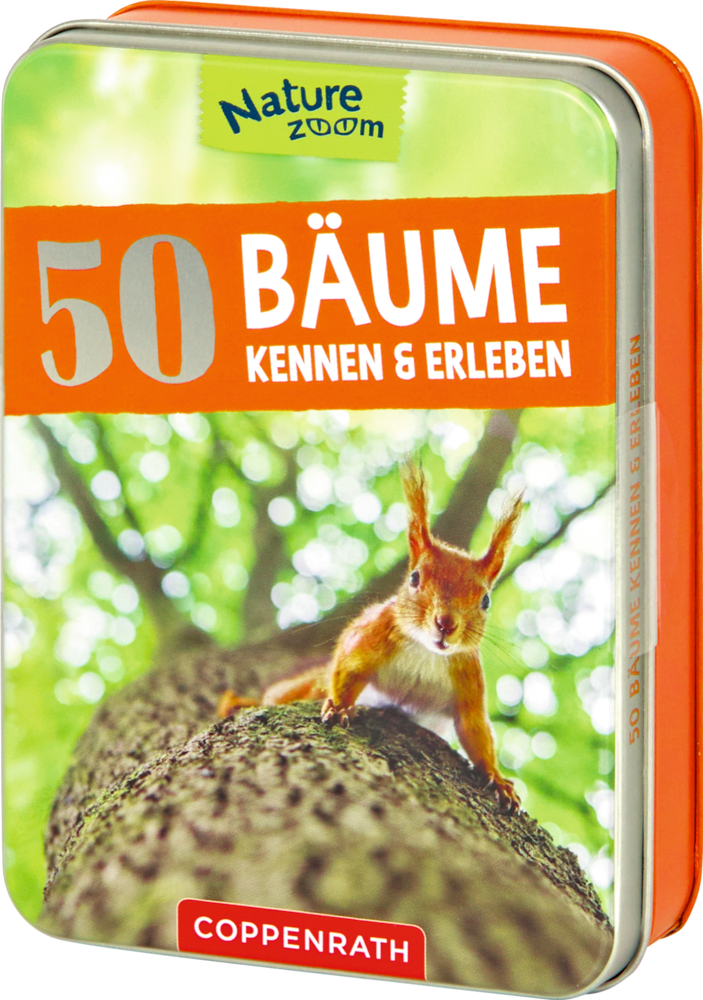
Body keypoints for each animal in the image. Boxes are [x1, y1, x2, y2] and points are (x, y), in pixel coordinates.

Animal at [218, 462, 524, 813]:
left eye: (486, 600)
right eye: (414, 578)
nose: (445, 624)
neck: (426, 651)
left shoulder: (468, 677)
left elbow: (475, 730)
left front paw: (498, 780)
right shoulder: (369, 634)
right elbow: (348, 670)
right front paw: (339, 707)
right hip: (308, 684)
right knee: (281, 695)